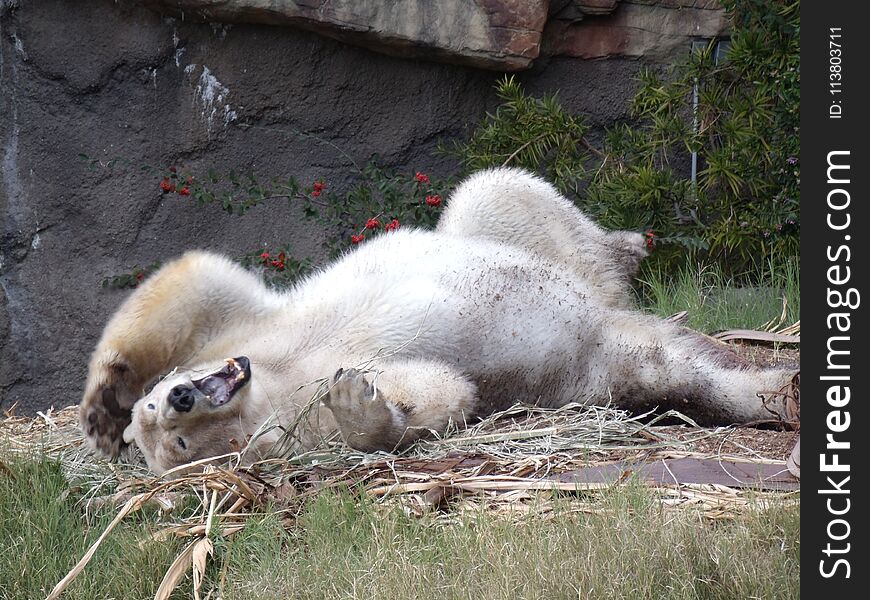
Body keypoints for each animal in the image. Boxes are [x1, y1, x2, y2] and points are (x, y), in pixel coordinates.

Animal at [80, 168, 796, 474]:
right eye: (179, 446)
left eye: (157, 413)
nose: (180, 397)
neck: (273, 378)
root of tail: (604, 310)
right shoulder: (298, 423)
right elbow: (438, 391)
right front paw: (358, 399)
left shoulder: (249, 331)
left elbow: (197, 282)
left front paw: (101, 408)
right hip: (601, 364)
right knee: (681, 372)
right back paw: (774, 392)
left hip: (531, 247)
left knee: (498, 194)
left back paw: (629, 245)